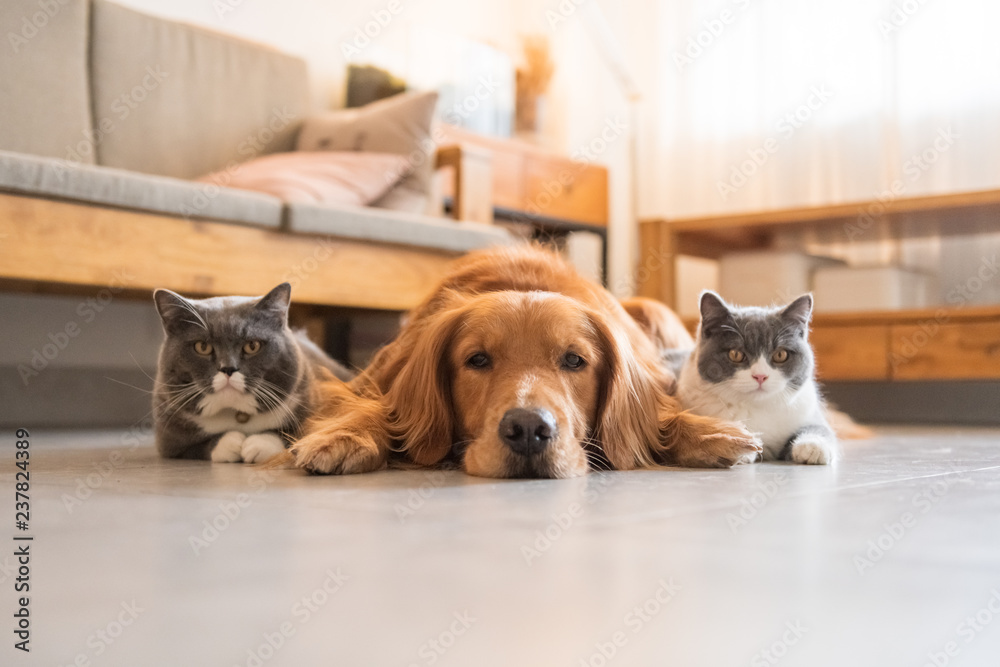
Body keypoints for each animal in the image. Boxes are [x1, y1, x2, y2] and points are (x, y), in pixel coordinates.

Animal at [150, 284, 350, 464]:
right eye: (202, 347)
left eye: (252, 346)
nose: (228, 368)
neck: (238, 414)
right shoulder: (168, 440)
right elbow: (195, 447)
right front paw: (231, 443)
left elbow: (296, 434)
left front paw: (258, 444)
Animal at [676, 292, 840, 464]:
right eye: (736, 354)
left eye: (780, 355)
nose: (760, 376)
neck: (756, 406)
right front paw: (738, 445)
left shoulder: (808, 410)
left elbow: (822, 428)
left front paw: (813, 446)